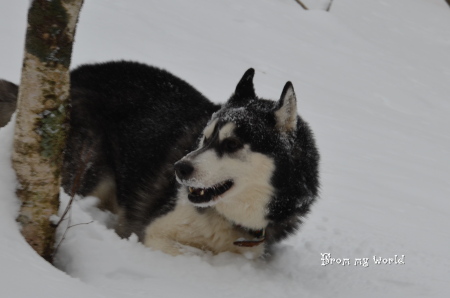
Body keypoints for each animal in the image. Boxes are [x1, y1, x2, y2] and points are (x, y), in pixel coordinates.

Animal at [0, 61, 318, 258]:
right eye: (205, 138)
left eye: (231, 144)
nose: (179, 168)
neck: (228, 219)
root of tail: (74, 74)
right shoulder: (154, 232)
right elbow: (190, 253)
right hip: (88, 172)